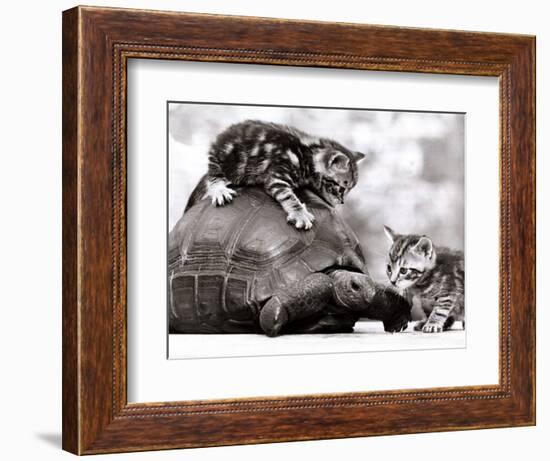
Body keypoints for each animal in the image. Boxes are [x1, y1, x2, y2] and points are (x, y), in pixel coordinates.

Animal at [185, 119, 366, 229]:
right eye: (342, 187)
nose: (342, 202)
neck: (308, 153)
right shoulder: (278, 177)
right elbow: (289, 196)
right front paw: (299, 213)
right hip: (225, 160)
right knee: (213, 176)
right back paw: (219, 189)